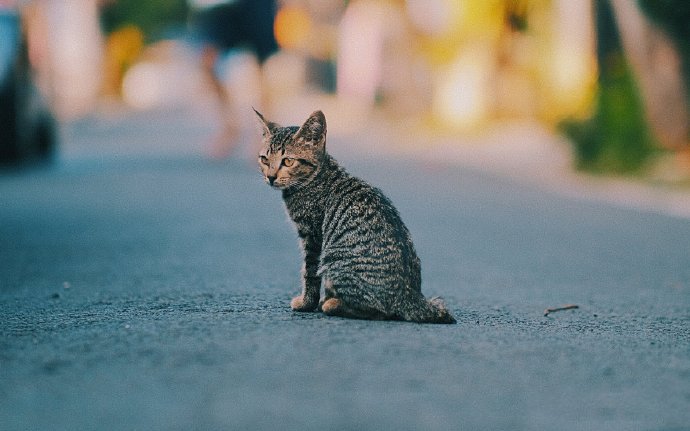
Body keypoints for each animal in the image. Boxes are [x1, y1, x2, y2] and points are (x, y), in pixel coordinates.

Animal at [255, 109, 454, 324]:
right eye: (264, 159)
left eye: (288, 161)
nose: (270, 177)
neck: (317, 177)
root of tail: (410, 295)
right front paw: (319, 299)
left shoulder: (313, 236)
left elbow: (310, 272)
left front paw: (307, 303)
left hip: (334, 257)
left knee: (379, 311)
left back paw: (333, 304)